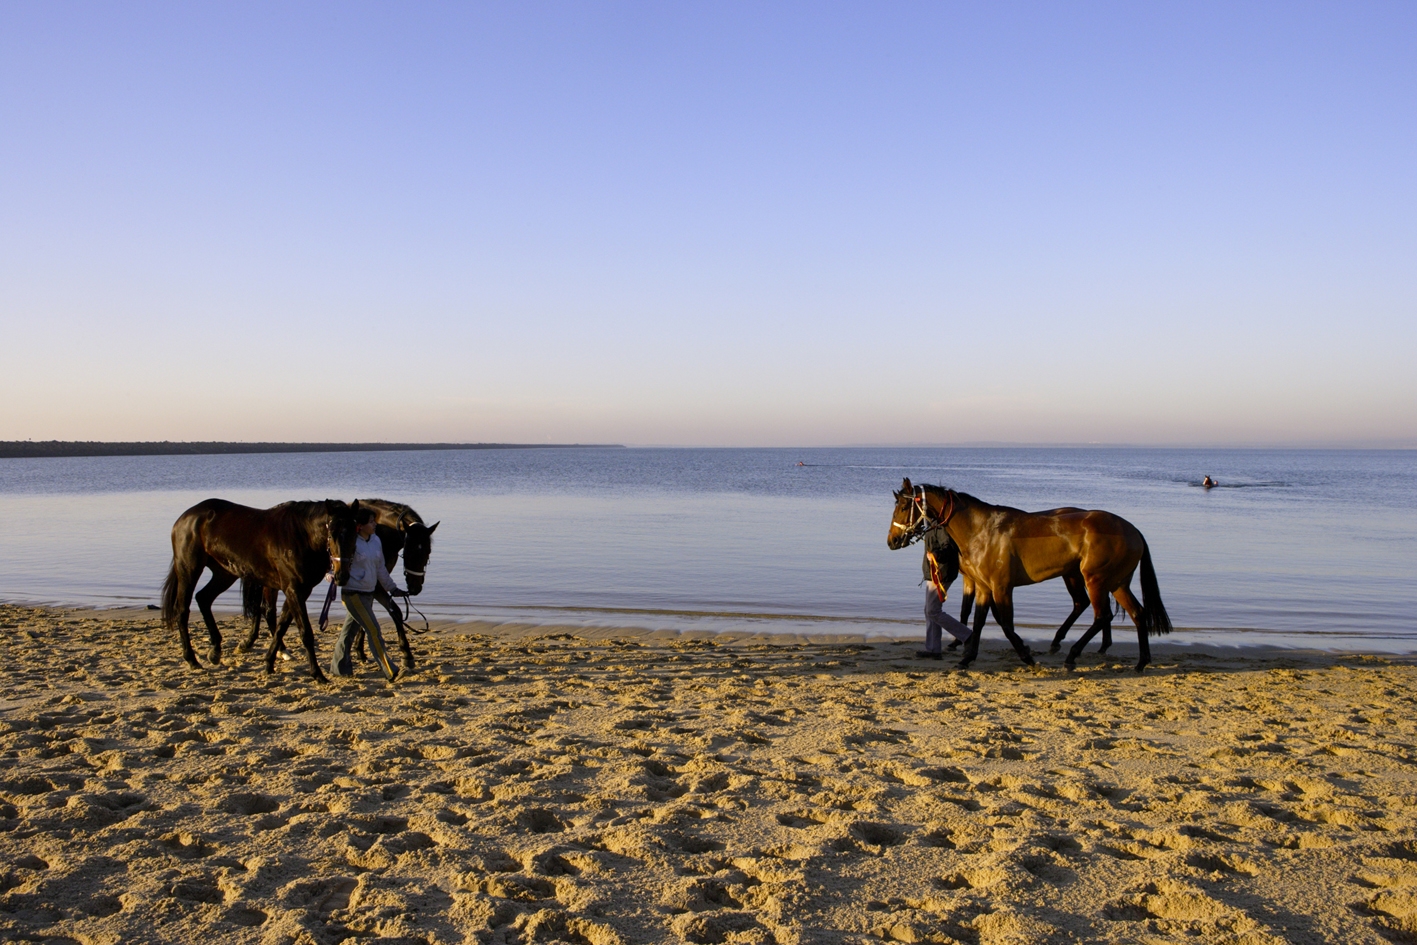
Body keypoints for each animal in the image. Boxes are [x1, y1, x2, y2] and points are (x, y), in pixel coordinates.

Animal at [160, 499, 358, 683]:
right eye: (331, 534)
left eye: (354, 533)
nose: (341, 575)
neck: (300, 536)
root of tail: (185, 517)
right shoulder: (293, 589)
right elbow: (305, 633)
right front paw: (317, 674)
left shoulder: (300, 591)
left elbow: (281, 627)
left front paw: (269, 663)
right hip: (189, 570)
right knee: (182, 611)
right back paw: (192, 660)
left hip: (224, 573)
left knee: (203, 598)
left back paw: (215, 650)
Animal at [238, 498, 437, 669]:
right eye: (411, 551)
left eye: (427, 552)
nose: (415, 588)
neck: (380, 529)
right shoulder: (376, 583)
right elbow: (394, 611)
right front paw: (406, 654)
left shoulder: (373, 580)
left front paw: (360, 650)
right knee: (268, 610)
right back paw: (279, 650)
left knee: (261, 609)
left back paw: (255, 644)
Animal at [887, 479, 1171, 672]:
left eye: (903, 506)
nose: (892, 540)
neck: (982, 530)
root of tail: (1133, 529)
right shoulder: (984, 587)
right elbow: (978, 621)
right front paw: (967, 657)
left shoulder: (1001, 587)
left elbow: (1005, 624)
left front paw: (1027, 655)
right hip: (1116, 582)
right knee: (1137, 613)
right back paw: (1141, 662)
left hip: (1095, 579)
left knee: (1102, 615)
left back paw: (1071, 655)